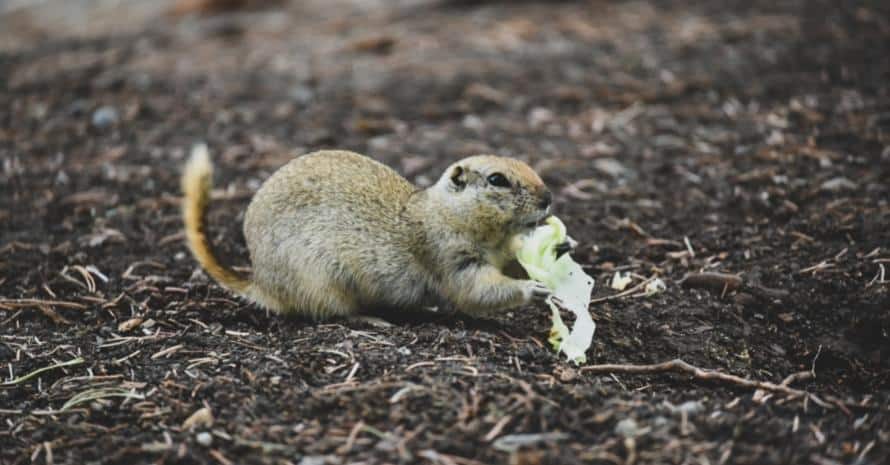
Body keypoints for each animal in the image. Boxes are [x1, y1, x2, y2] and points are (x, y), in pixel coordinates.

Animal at [184, 146, 568, 320]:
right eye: (497, 180)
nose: (548, 198)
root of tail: (262, 283)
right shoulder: (450, 257)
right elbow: (475, 290)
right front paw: (531, 289)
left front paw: (560, 248)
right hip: (324, 281)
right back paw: (374, 318)